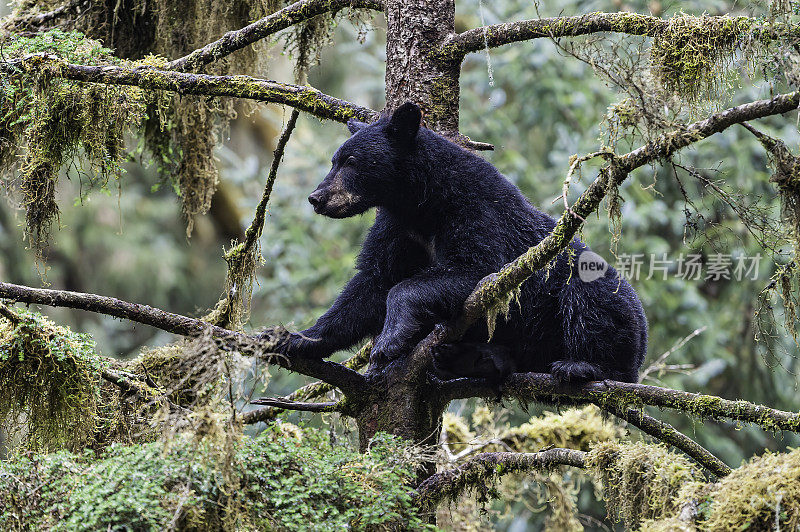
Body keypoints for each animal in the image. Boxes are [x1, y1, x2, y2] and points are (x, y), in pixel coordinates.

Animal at [272, 101, 648, 382]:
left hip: (602, 308)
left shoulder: (476, 210)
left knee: (590, 301)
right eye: (334, 160)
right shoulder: (398, 227)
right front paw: (294, 338)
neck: (423, 202)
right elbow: (371, 283)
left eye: (351, 162)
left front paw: (389, 342)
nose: (316, 198)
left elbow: (478, 269)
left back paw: (582, 365)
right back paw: (472, 359)